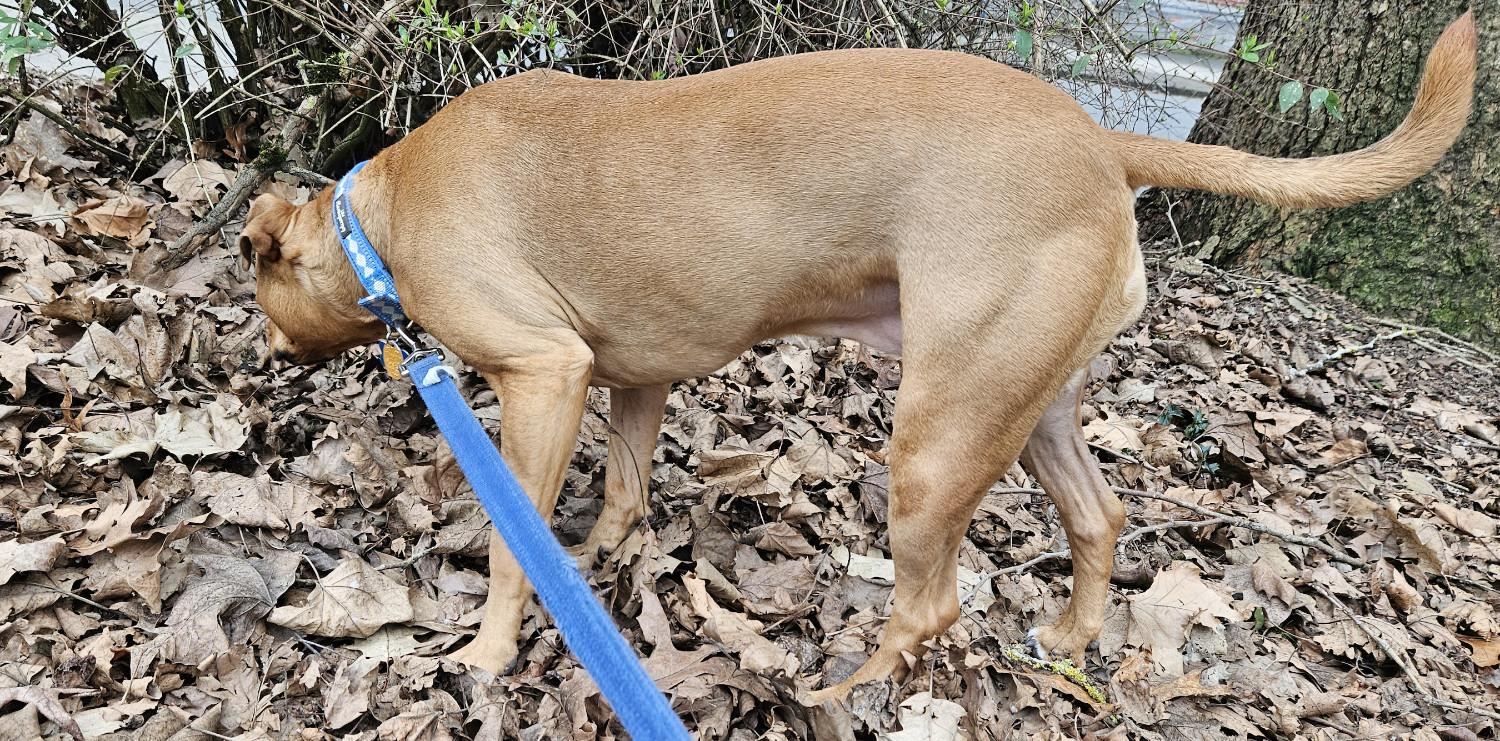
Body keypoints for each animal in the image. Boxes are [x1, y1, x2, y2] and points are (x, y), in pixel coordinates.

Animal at [240, 15, 1470, 699]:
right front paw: (595, 560)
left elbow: (512, 547)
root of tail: (1097, 136)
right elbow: (624, 496)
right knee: (1098, 516)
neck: (379, 216)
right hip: (1031, 408)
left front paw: (490, 653)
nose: (261, 358)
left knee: (929, 612)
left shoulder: (544, 375)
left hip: (937, 443)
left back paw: (844, 699)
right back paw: (1069, 638)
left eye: (257, 288)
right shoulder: (631, 379)